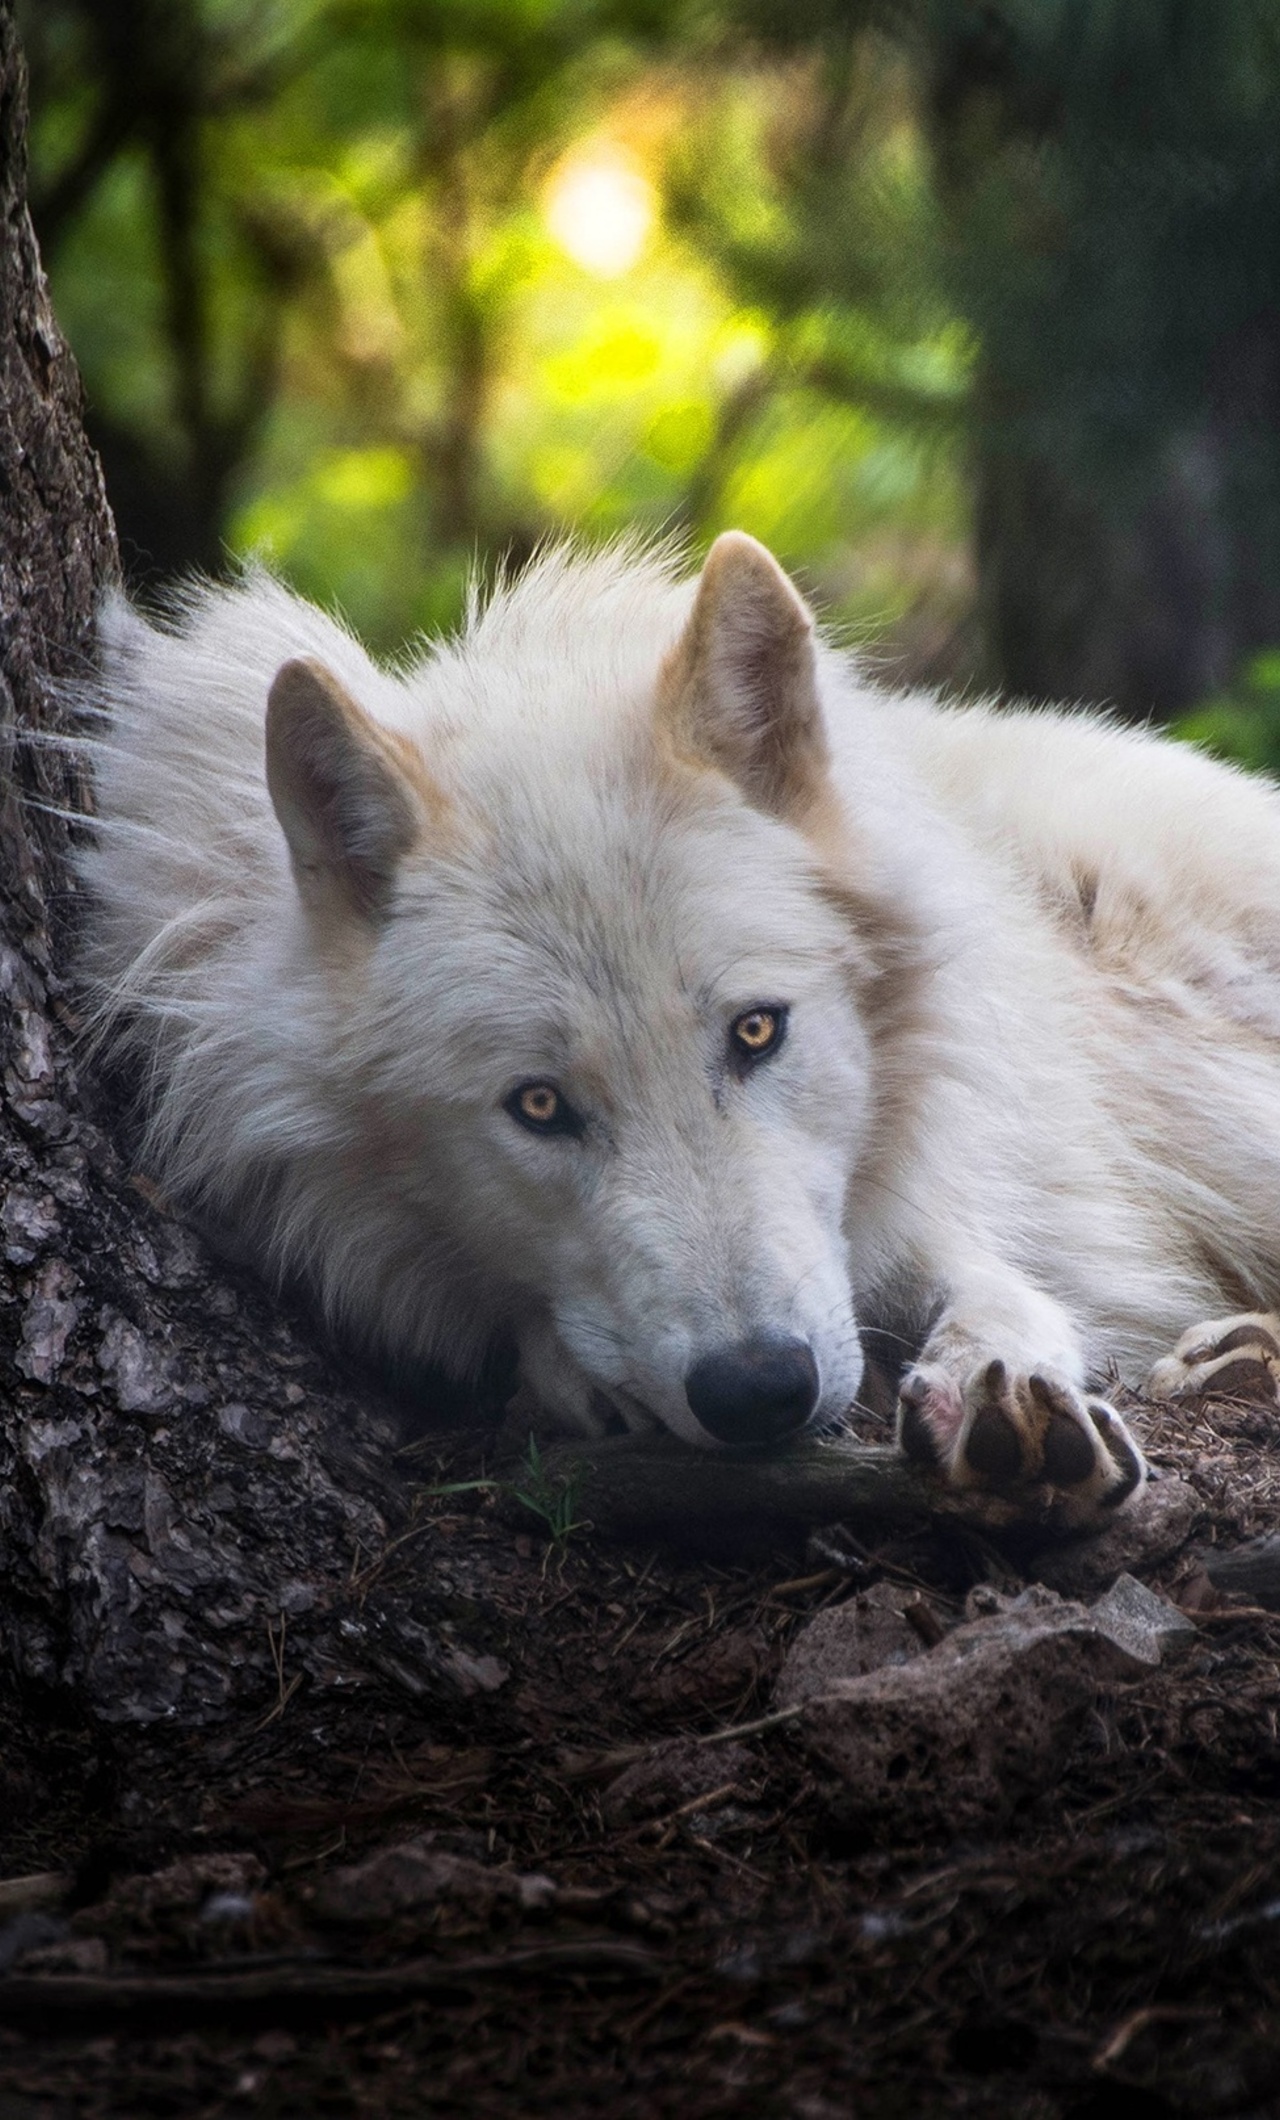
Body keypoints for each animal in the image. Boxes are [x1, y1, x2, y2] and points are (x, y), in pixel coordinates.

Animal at [81, 531, 1280, 1526]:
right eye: (538, 1104)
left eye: (755, 1032)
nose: (758, 1391)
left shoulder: (944, 1190)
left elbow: (986, 1285)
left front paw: (1002, 1396)